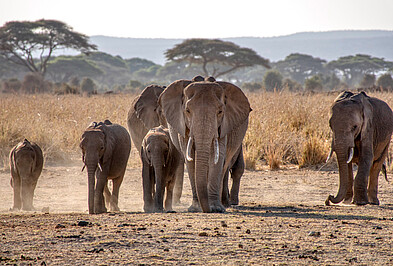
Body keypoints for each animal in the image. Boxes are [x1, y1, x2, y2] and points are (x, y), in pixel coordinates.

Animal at [158, 76, 250, 213]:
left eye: (220, 111)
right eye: (187, 111)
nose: (207, 209)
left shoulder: (223, 126)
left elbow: (218, 156)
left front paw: (216, 208)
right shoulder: (183, 126)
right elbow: (190, 158)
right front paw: (195, 208)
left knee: (224, 165)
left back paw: (223, 204)